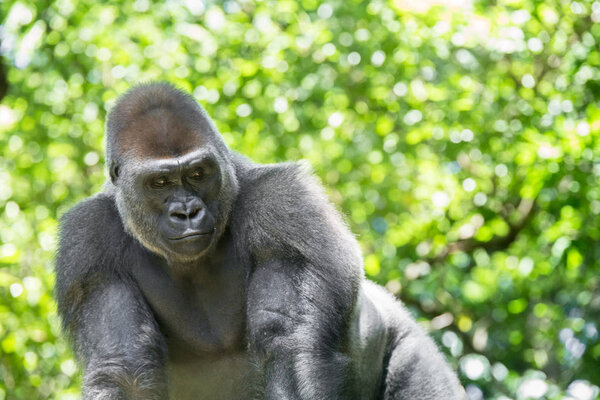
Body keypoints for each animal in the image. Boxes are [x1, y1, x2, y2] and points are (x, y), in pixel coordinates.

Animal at [54, 83, 464, 398]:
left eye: (198, 173)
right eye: (160, 182)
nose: (186, 212)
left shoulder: (283, 209)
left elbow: (290, 345)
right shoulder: (88, 243)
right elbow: (123, 368)